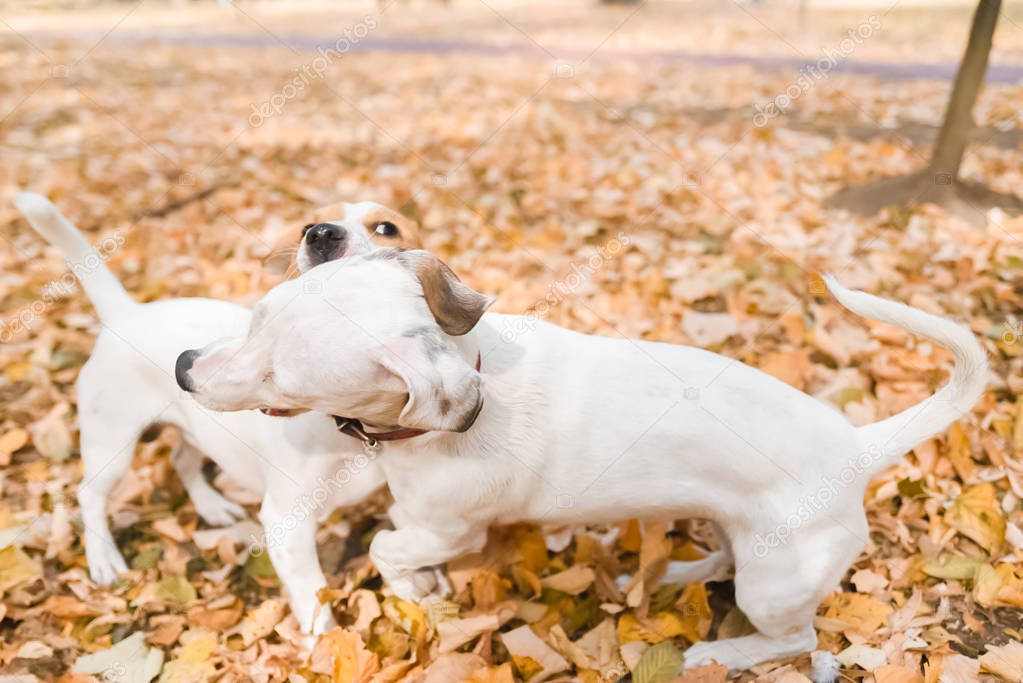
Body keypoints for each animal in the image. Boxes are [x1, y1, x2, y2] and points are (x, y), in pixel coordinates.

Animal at [12, 193, 419, 633]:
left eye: (387, 228)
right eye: (305, 227)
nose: (321, 234)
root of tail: (126, 313)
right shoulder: (286, 524)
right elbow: (314, 604)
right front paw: (323, 645)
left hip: (197, 432)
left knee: (181, 459)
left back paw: (212, 506)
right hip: (111, 445)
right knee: (90, 494)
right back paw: (103, 558)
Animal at [173, 248, 982, 670]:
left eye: (280, 376)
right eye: (253, 314)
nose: (181, 366)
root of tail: (858, 445)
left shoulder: (447, 528)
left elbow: (385, 547)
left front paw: (417, 587)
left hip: (776, 584)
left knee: (795, 636)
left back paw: (715, 654)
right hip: (746, 536)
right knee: (723, 557)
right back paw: (673, 573)